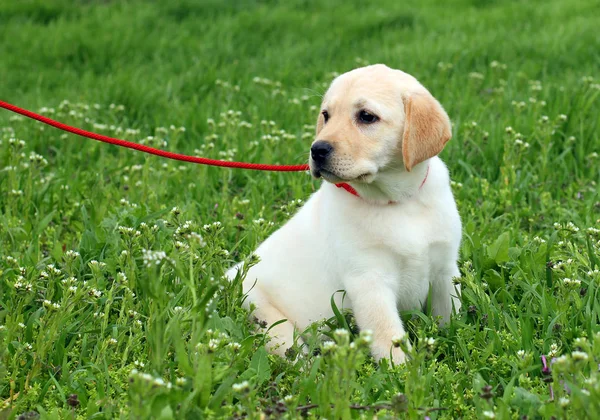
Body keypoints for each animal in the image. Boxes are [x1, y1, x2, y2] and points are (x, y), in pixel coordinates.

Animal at [227, 64, 462, 362]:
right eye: (326, 115)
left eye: (366, 117)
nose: (317, 150)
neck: (397, 201)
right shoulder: (369, 281)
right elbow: (389, 338)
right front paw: (401, 371)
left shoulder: (445, 270)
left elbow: (452, 316)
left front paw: (456, 342)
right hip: (268, 320)